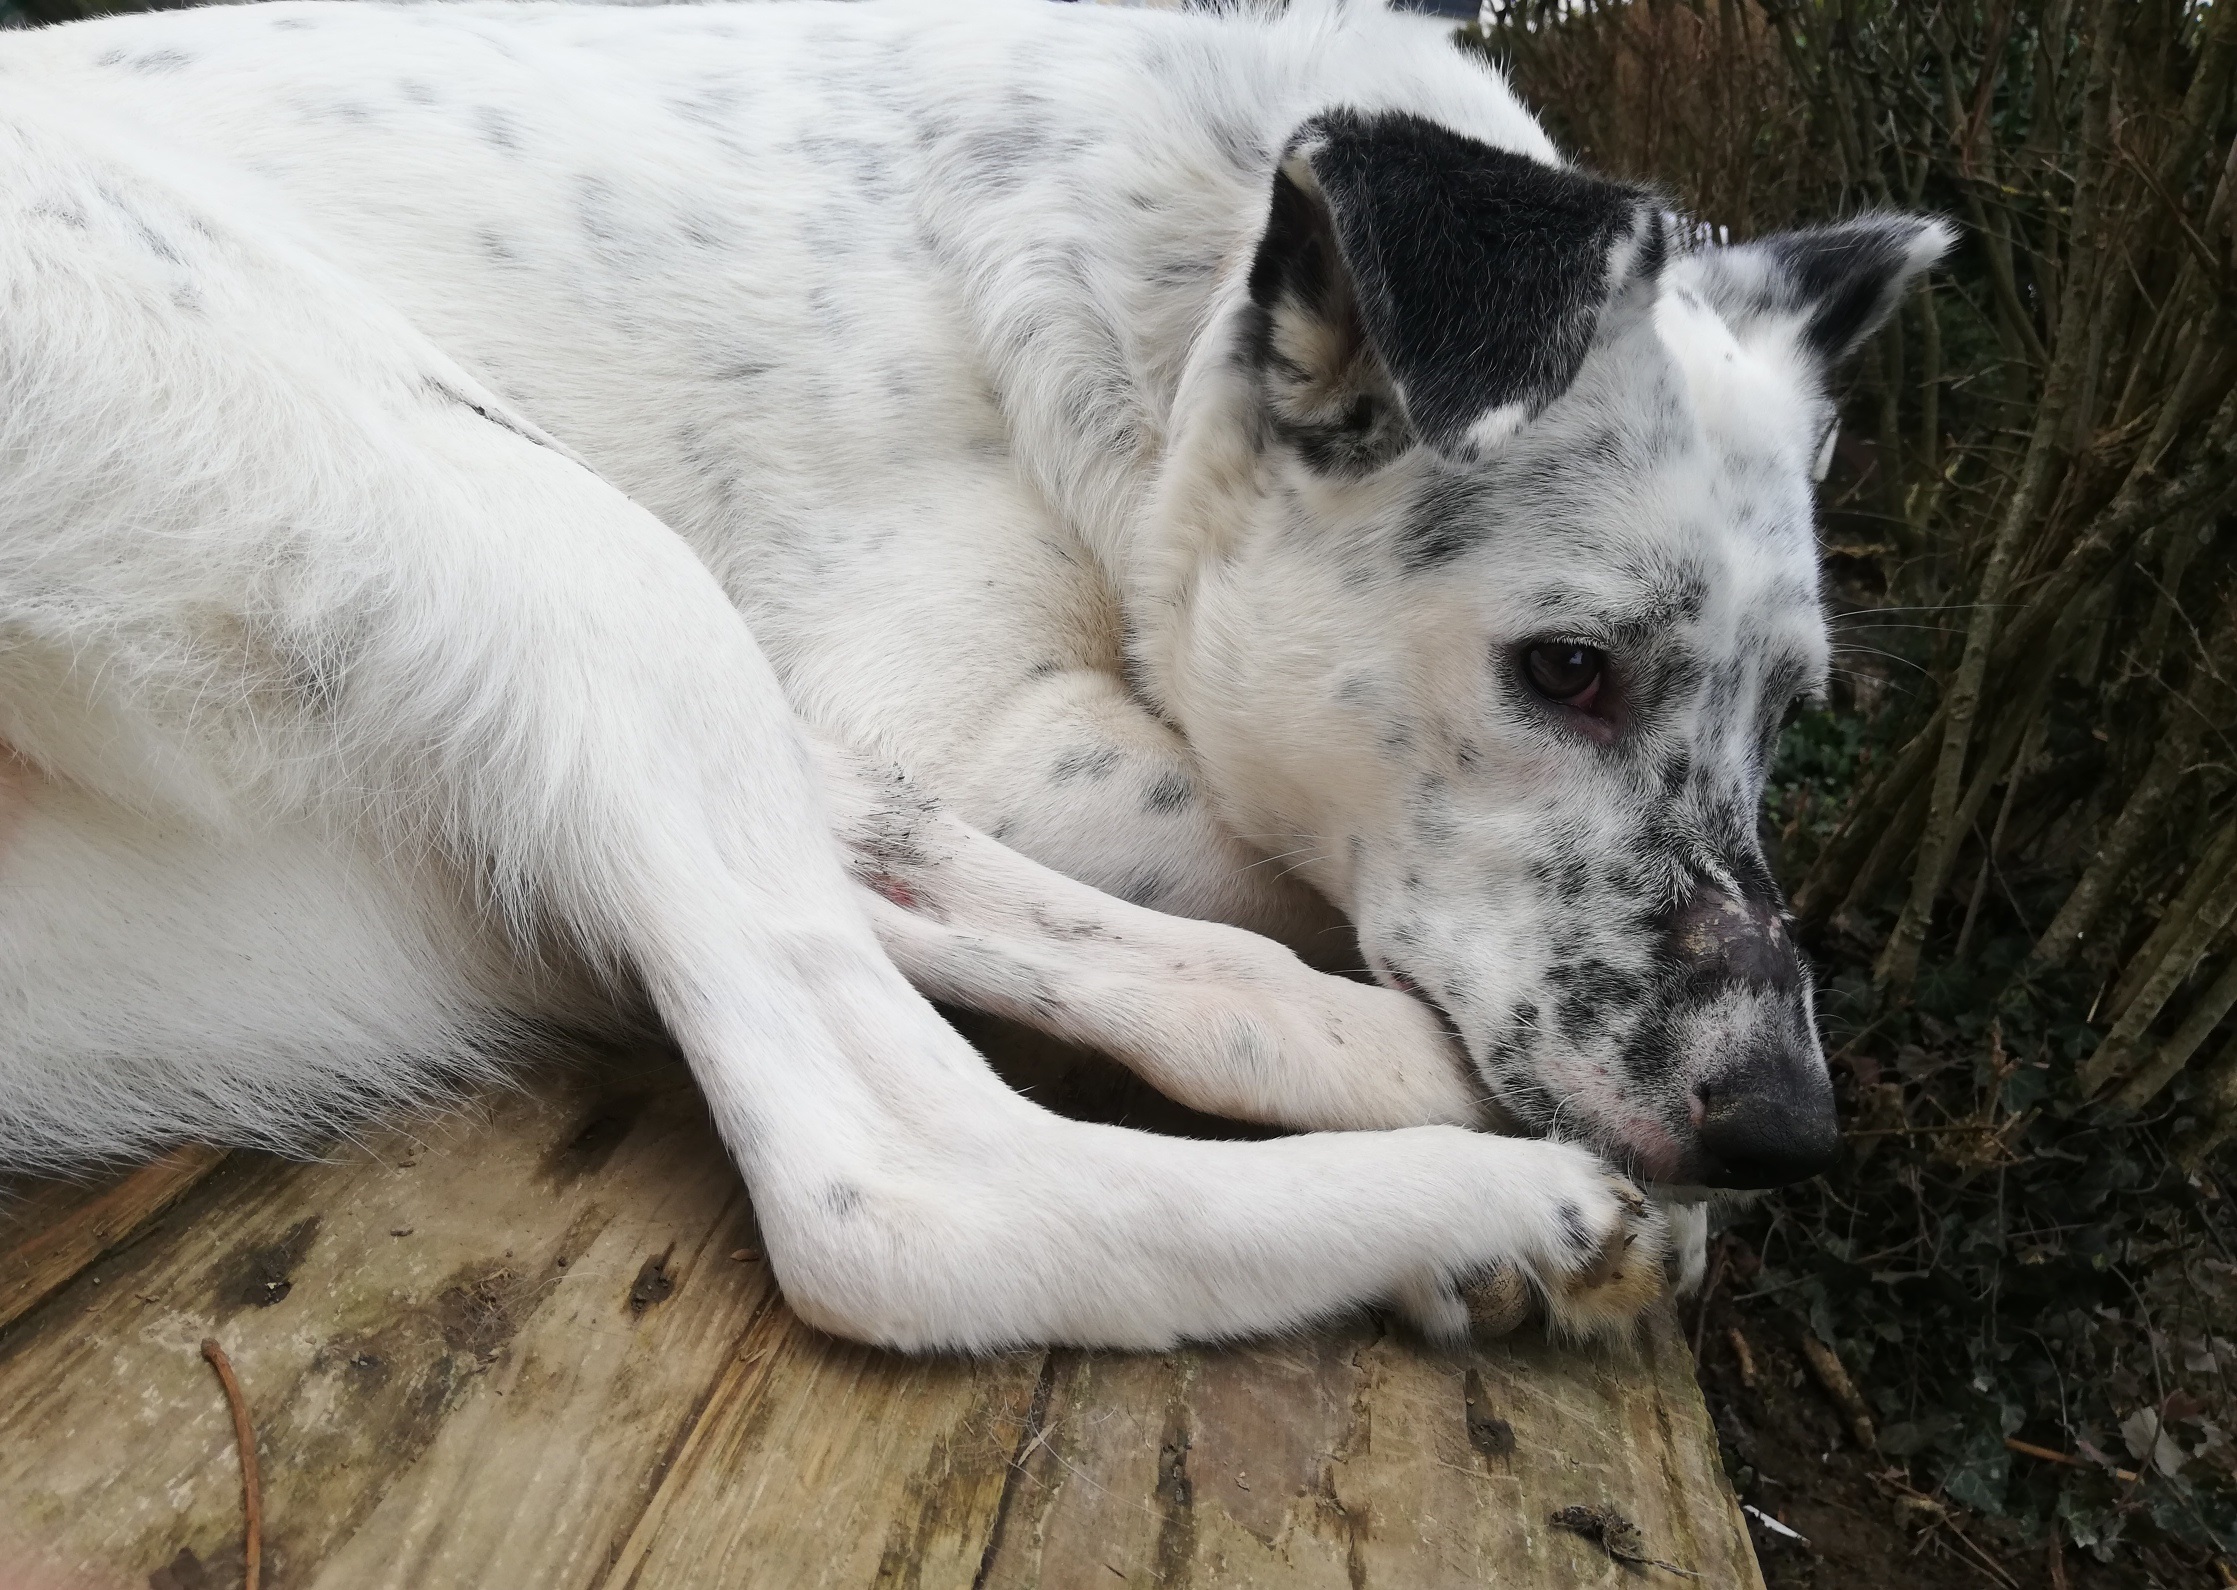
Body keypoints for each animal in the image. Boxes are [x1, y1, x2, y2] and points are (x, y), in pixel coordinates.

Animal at [0, 0, 1941, 1359]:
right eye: (1567, 669)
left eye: (1788, 715)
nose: (1788, 1129)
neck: (1150, 284)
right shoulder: (963, 713)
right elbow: (1237, 842)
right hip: (527, 521)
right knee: (899, 1192)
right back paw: (1482, 1206)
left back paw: (1396, 1070)